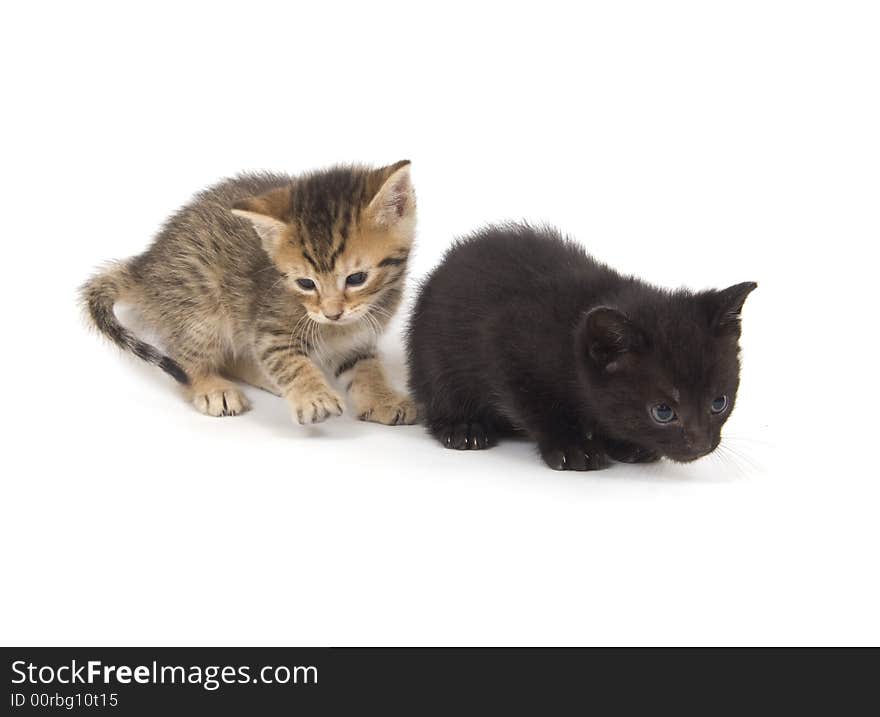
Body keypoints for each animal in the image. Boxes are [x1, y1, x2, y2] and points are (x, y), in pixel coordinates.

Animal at [81, 159, 418, 422]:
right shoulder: (267, 327)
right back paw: (212, 386)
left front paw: (382, 399)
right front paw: (312, 394)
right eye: (306, 283)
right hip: (200, 307)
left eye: (357, 278)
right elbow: (287, 360)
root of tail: (146, 264)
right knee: (186, 359)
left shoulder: (357, 339)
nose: (332, 313)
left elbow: (365, 367)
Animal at [406, 224, 756, 470]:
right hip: (434, 356)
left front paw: (625, 444)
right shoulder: (508, 350)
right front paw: (572, 447)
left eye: (719, 403)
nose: (701, 444)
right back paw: (463, 427)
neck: (568, 339)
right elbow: (538, 407)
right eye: (663, 411)